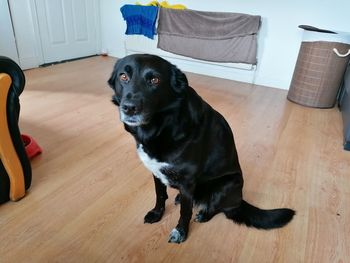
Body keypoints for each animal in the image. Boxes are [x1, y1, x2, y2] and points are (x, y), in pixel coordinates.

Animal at [108, 54, 294, 244]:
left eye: (155, 80)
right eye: (123, 77)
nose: (129, 108)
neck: (161, 126)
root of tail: (240, 200)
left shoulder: (187, 181)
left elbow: (185, 211)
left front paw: (180, 232)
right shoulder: (156, 172)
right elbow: (160, 195)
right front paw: (156, 214)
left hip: (226, 185)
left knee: (217, 208)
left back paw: (204, 214)